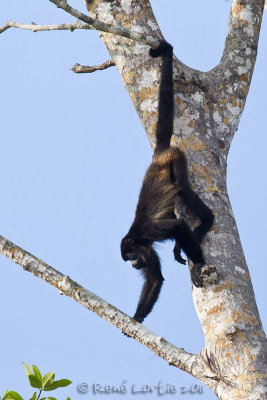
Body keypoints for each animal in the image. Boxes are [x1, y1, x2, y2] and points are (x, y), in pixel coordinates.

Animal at [121, 39, 216, 324]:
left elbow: (178, 227)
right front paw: (135, 320)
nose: (133, 264)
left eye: (130, 257)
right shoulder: (148, 249)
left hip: (177, 157)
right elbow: (155, 278)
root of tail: (159, 153)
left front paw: (198, 263)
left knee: (183, 188)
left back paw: (206, 222)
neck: (136, 237)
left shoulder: (148, 234)